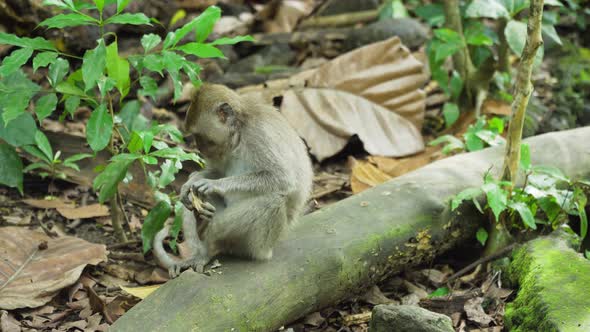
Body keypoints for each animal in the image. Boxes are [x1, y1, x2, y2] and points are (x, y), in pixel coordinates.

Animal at [155, 83, 316, 278]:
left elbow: (282, 178)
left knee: (274, 200)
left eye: (199, 135)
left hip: (258, 244)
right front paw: (189, 184)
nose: (198, 148)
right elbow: (214, 172)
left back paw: (209, 246)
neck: (239, 131)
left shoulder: (259, 135)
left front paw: (214, 185)